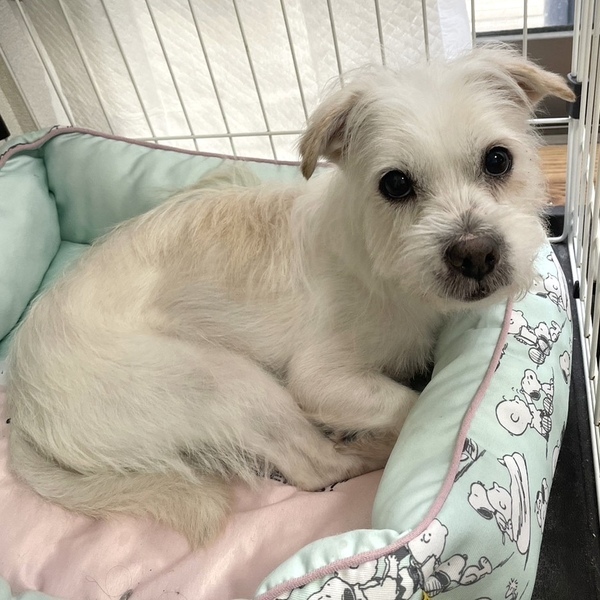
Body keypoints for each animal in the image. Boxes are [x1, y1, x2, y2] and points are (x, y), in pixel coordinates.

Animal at [6, 45, 574, 547]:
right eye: (395, 184)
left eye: (498, 160)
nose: (475, 254)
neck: (383, 265)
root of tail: (22, 405)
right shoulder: (322, 379)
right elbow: (407, 402)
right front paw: (394, 421)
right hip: (226, 383)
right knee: (314, 467)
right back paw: (370, 449)